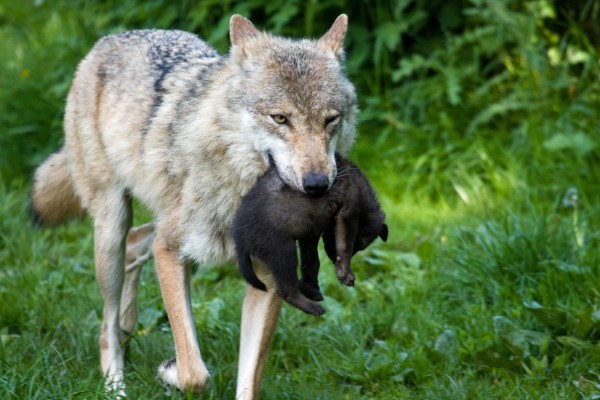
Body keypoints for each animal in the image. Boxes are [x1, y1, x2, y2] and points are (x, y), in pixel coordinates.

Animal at [29, 14, 356, 398]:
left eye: (330, 120)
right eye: (280, 119)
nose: (318, 184)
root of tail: (108, 40)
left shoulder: (268, 277)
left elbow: (248, 382)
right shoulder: (170, 253)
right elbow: (194, 372)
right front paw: (168, 370)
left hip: (155, 225)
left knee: (135, 246)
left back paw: (128, 328)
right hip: (112, 227)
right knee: (105, 326)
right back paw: (115, 383)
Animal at [232, 153, 386, 316]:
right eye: (358, 245)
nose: (332, 258)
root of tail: (239, 238)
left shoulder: (310, 233)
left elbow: (311, 261)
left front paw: (314, 282)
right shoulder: (348, 214)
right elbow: (344, 248)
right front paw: (345, 272)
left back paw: (309, 291)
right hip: (282, 251)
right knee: (285, 290)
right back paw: (313, 307)